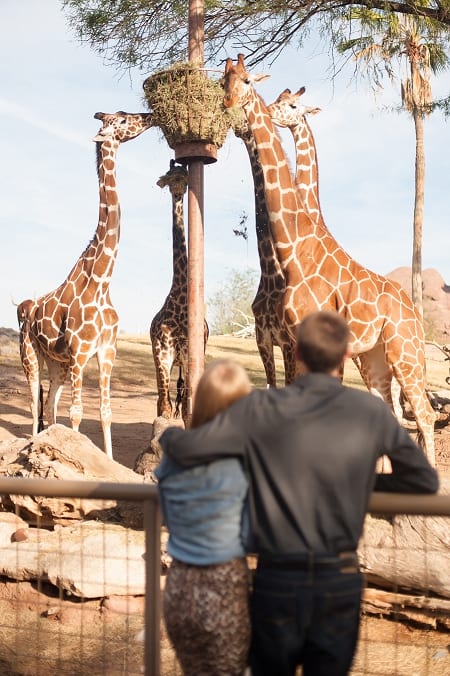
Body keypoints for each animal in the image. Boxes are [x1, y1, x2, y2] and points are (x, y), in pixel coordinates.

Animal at [18, 112, 153, 460]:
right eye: (121, 119)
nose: (147, 117)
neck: (102, 281)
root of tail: (25, 308)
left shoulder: (107, 351)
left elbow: (105, 412)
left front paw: (107, 462)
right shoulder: (80, 352)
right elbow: (77, 413)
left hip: (58, 363)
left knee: (50, 402)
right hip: (31, 354)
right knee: (35, 401)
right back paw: (31, 446)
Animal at [224, 55, 436, 464]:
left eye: (246, 80)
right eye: (223, 80)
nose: (228, 106)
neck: (293, 251)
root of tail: (413, 312)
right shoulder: (285, 338)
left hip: (404, 351)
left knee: (424, 413)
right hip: (374, 357)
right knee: (391, 411)